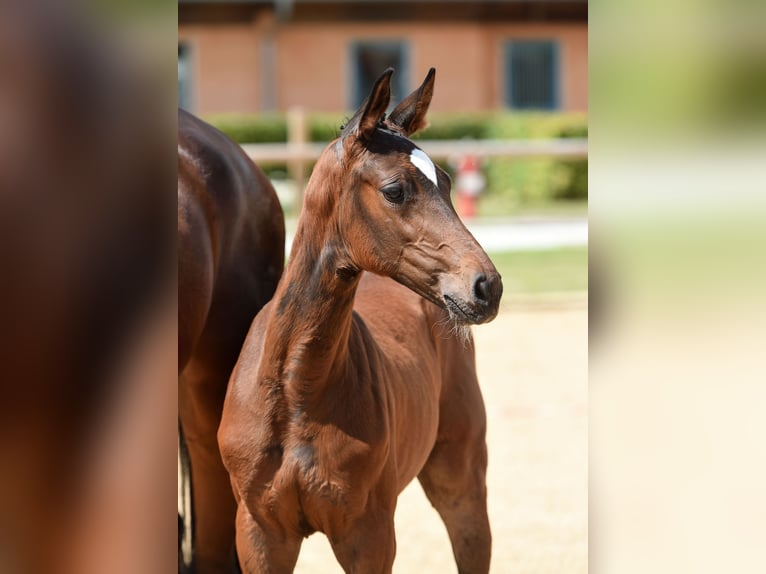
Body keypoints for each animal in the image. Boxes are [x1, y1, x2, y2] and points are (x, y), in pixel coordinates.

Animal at [218, 68, 504, 574]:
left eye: (449, 182)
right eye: (395, 190)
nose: (486, 286)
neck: (297, 394)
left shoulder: (367, 533)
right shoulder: (259, 533)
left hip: (461, 480)